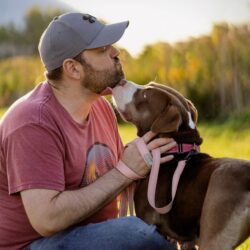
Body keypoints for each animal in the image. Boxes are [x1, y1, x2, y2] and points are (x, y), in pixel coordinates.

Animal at [112, 80, 250, 250]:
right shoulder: (185, 238)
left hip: (214, 230)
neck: (177, 146)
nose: (121, 81)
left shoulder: (149, 221)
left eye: (145, 95)